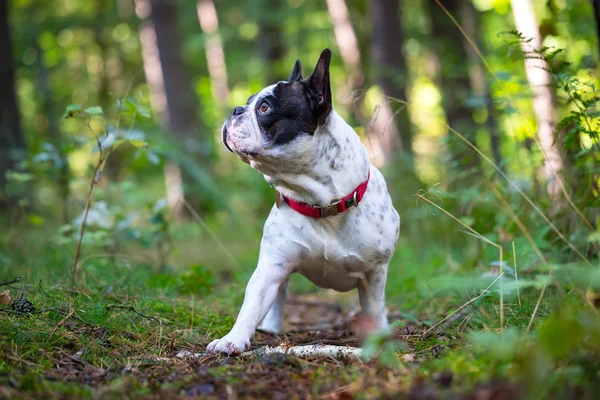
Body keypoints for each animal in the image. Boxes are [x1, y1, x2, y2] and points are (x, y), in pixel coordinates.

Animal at [209, 48, 400, 354]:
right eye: (247, 104)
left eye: (264, 108)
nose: (235, 110)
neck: (322, 202)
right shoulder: (272, 265)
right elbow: (252, 303)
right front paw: (232, 339)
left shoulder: (375, 272)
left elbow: (373, 307)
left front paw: (379, 339)